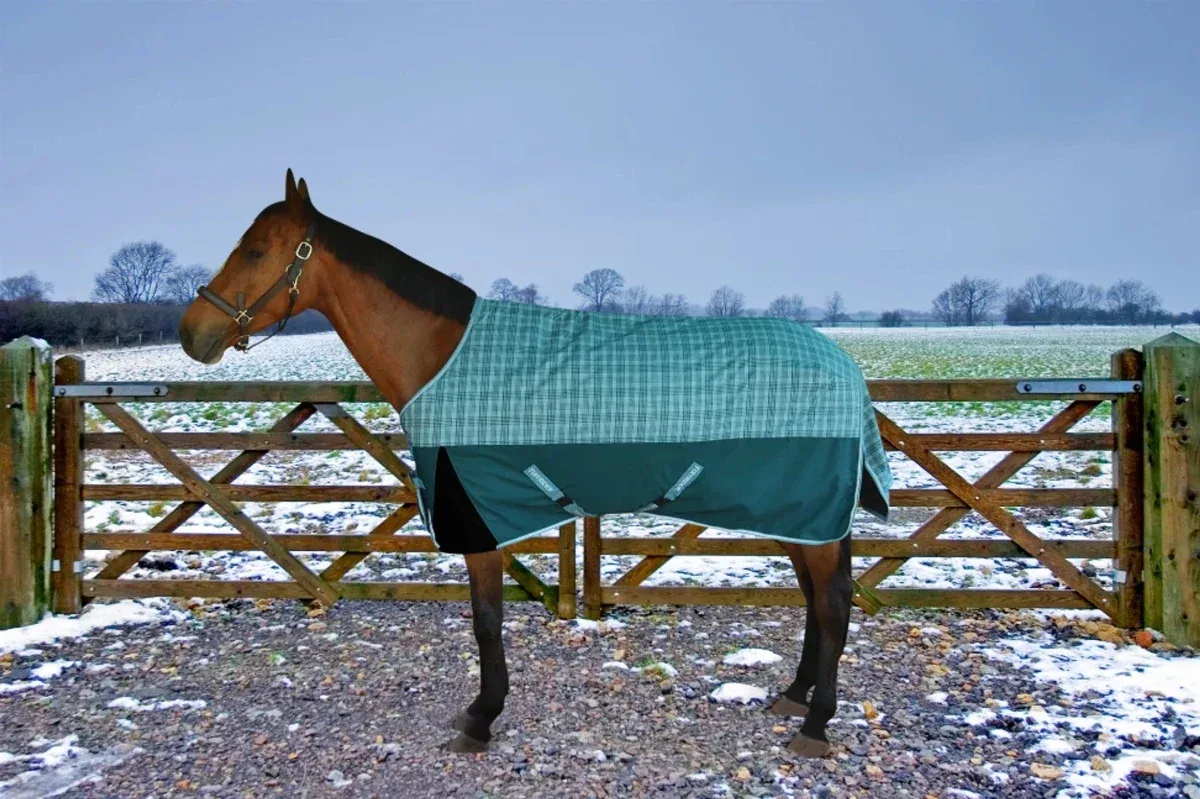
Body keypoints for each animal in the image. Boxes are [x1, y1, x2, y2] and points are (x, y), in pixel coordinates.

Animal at [179, 170, 891, 757]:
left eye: (255, 250)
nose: (192, 334)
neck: (441, 355)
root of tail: (842, 365)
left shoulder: (475, 519)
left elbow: (486, 622)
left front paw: (481, 718)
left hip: (806, 511)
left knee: (831, 603)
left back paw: (815, 725)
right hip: (797, 514)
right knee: (815, 599)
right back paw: (794, 698)